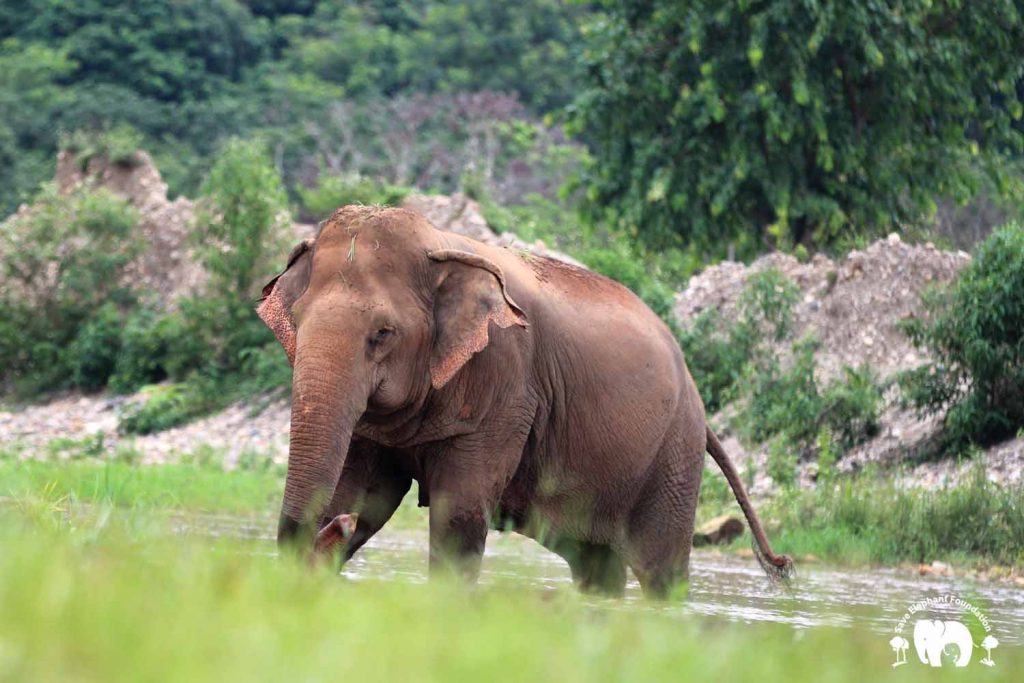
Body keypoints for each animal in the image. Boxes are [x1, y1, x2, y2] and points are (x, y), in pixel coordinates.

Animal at [256, 204, 790, 598]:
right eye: (296, 321)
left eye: (383, 334)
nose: (336, 527)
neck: (439, 243)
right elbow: (371, 493)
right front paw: (345, 517)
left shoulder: (507, 385)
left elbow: (458, 515)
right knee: (596, 565)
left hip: (673, 461)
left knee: (660, 573)